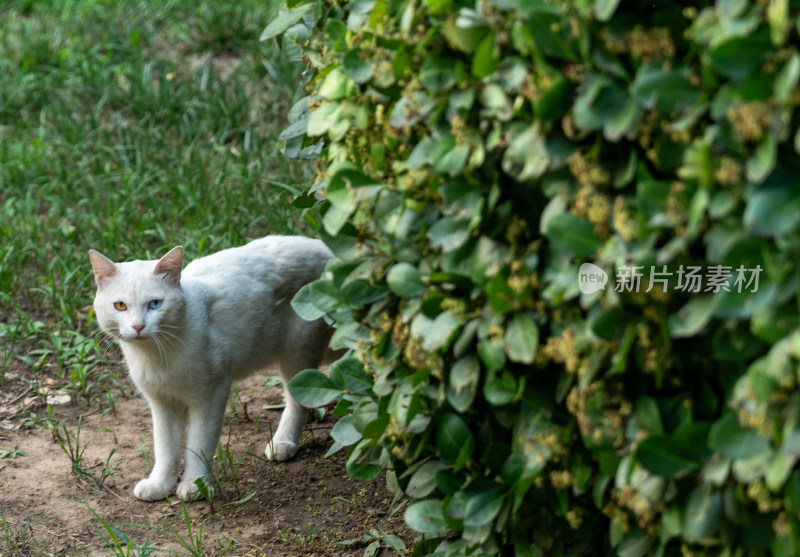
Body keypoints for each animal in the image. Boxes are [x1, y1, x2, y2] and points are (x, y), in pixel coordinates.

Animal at [90, 233, 334, 500]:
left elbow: (199, 443)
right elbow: (165, 447)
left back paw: (282, 443)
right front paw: (160, 485)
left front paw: (194, 485)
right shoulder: (162, 402)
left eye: (155, 304)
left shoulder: (211, 394)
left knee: (297, 401)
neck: (158, 354)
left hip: (298, 351)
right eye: (120, 306)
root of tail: (325, 249)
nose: (138, 326)